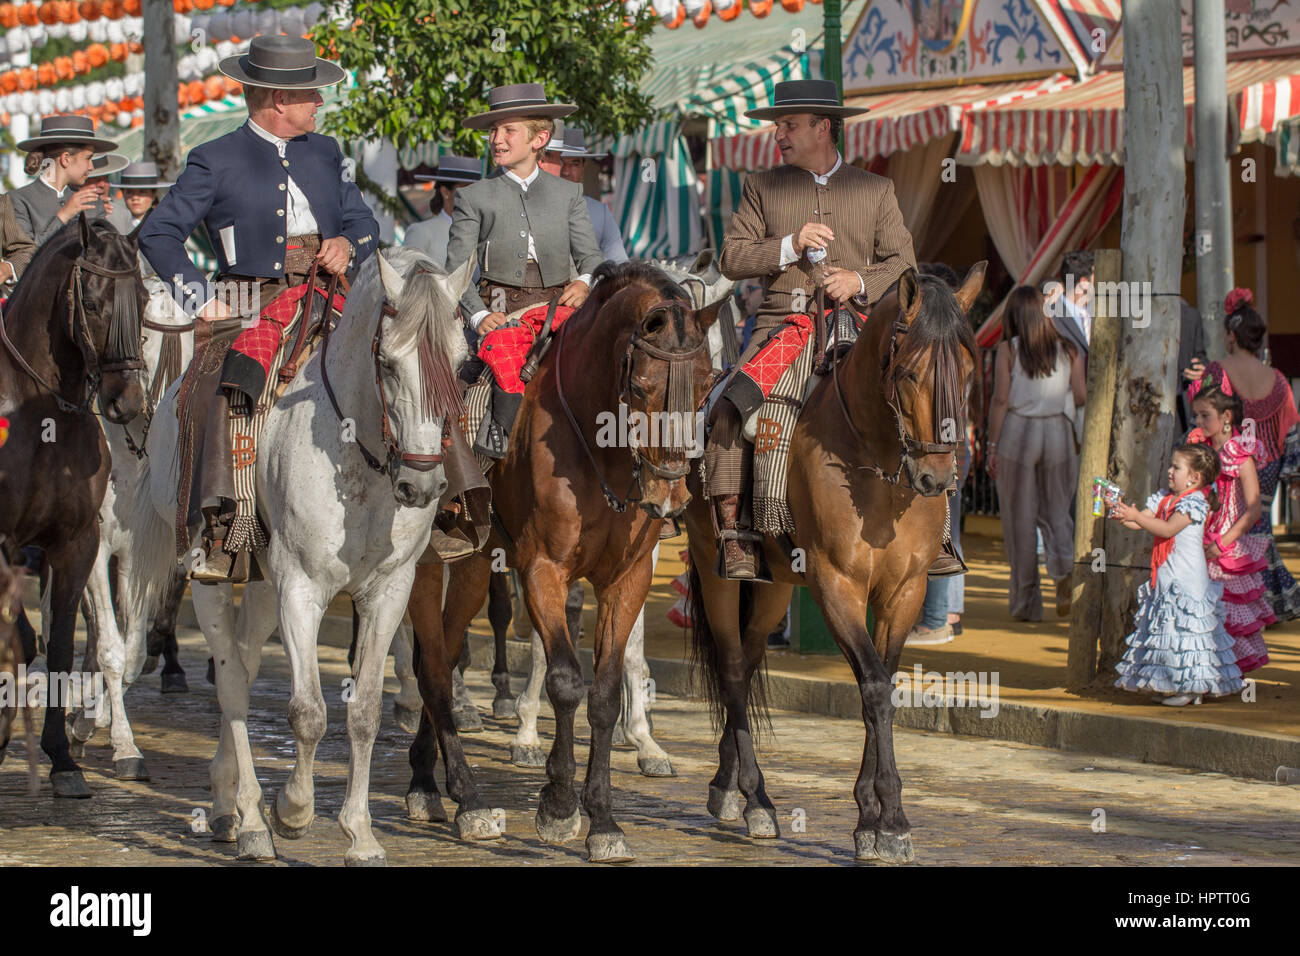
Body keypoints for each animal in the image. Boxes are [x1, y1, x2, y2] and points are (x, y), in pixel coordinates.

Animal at [0, 217, 147, 801]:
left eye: (143, 297)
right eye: (90, 300)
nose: (126, 402)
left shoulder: (77, 543)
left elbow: (61, 641)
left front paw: (62, 757)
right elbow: (23, 637)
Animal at [67, 283, 195, 780]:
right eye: (143, 338)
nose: (137, 406)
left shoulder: (135, 558)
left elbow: (133, 651)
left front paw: (91, 722)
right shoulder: (95, 554)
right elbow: (110, 648)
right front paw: (120, 744)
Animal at [142, 248, 478, 868]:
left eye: (463, 364)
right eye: (387, 363)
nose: (422, 485)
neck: (357, 456)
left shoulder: (388, 591)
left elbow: (364, 713)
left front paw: (361, 835)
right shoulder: (301, 588)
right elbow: (308, 713)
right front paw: (293, 811)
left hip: (262, 583)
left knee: (247, 665)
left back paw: (226, 805)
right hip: (209, 575)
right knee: (232, 683)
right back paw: (251, 819)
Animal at [403, 257, 717, 863]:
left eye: (709, 381)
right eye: (640, 384)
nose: (671, 496)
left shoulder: (629, 578)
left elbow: (605, 692)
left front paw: (603, 819)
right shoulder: (543, 570)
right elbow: (566, 681)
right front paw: (558, 805)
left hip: (473, 565)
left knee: (445, 653)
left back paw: (427, 779)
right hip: (424, 565)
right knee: (429, 665)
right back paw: (457, 795)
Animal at [686, 265, 977, 863]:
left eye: (966, 372)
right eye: (908, 373)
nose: (937, 478)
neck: (878, 463)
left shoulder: (905, 590)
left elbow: (881, 683)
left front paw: (871, 815)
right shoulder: (836, 584)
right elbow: (872, 687)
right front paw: (889, 818)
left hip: (774, 585)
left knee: (749, 660)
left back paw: (727, 785)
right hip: (714, 567)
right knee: (732, 665)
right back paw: (755, 798)